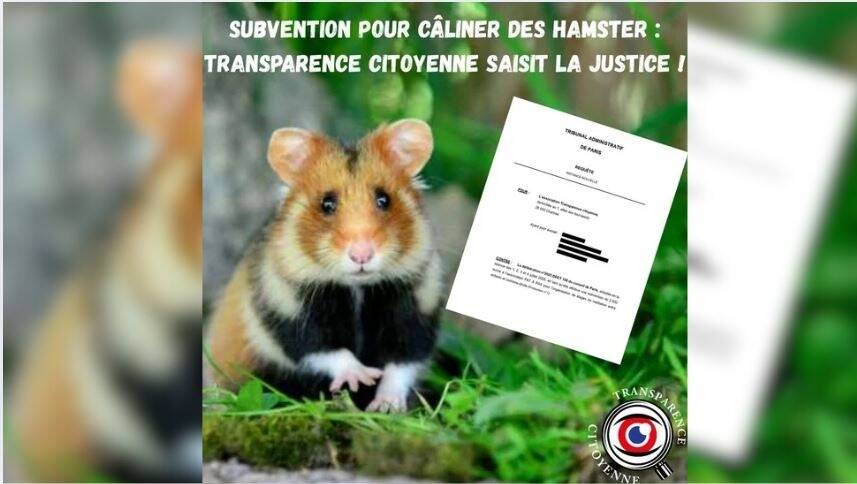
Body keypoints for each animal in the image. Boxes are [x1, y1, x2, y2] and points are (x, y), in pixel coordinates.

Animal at [206, 119, 443, 412]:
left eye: (384, 199)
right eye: (327, 203)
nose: (362, 255)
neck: (357, 288)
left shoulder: (417, 308)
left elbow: (402, 363)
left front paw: (385, 405)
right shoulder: (286, 310)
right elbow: (324, 349)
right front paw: (362, 377)